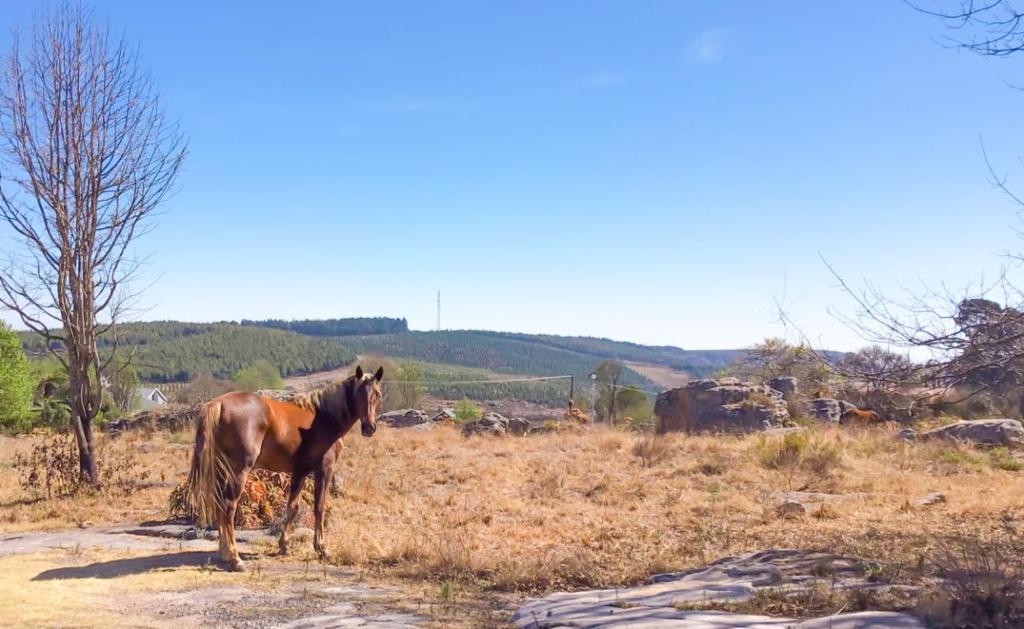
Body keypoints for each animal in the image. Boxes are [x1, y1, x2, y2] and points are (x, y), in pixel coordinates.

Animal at [187, 365, 383, 571]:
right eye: (359, 392)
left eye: (377, 394)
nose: (369, 428)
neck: (324, 417)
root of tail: (217, 404)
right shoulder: (324, 469)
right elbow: (319, 507)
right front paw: (322, 548)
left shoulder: (300, 471)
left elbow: (292, 507)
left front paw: (284, 546)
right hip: (238, 471)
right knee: (229, 507)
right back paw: (235, 558)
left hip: (220, 469)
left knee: (220, 505)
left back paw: (224, 553)